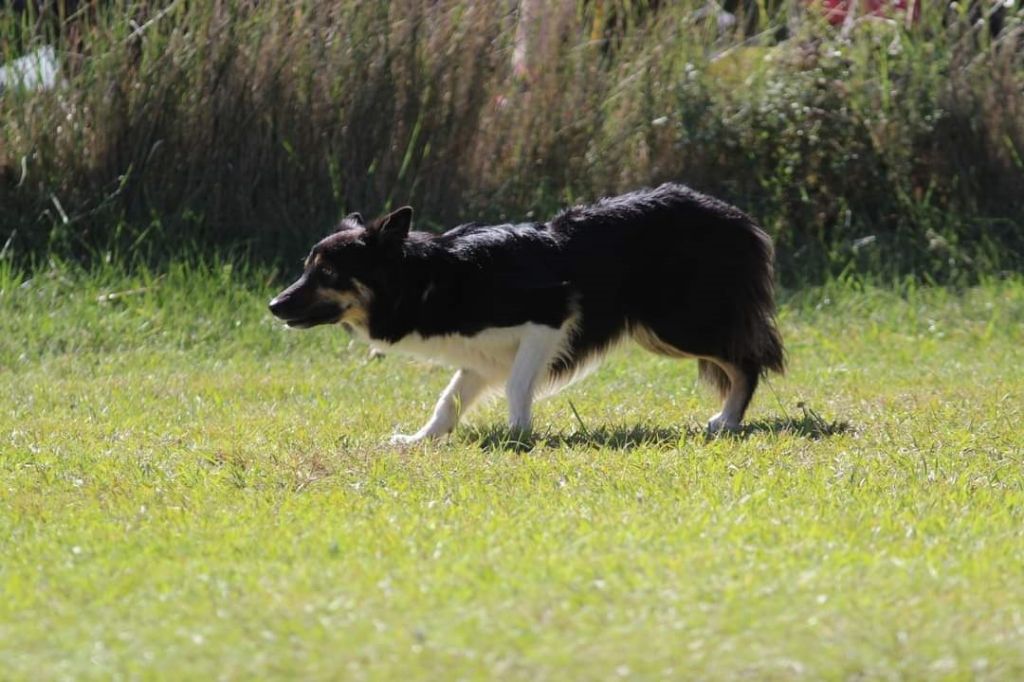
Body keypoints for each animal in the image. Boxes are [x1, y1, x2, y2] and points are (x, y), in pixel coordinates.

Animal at [270, 183, 782, 444]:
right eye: (307, 268)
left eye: (328, 272)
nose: (273, 306)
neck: (432, 277)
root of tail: (735, 217)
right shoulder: (480, 358)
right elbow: (448, 400)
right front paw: (421, 440)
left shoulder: (549, 319)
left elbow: (518, 385)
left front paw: (519, 435)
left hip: (675, 323)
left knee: (746, 362)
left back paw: (729, 421)